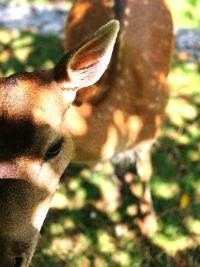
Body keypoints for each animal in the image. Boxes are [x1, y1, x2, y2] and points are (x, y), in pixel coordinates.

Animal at [0, 0, 173, 266]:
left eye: (54, 147)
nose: (7, 258)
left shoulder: (150, 134)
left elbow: (146, 171)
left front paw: (149, 223)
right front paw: (110, 200)